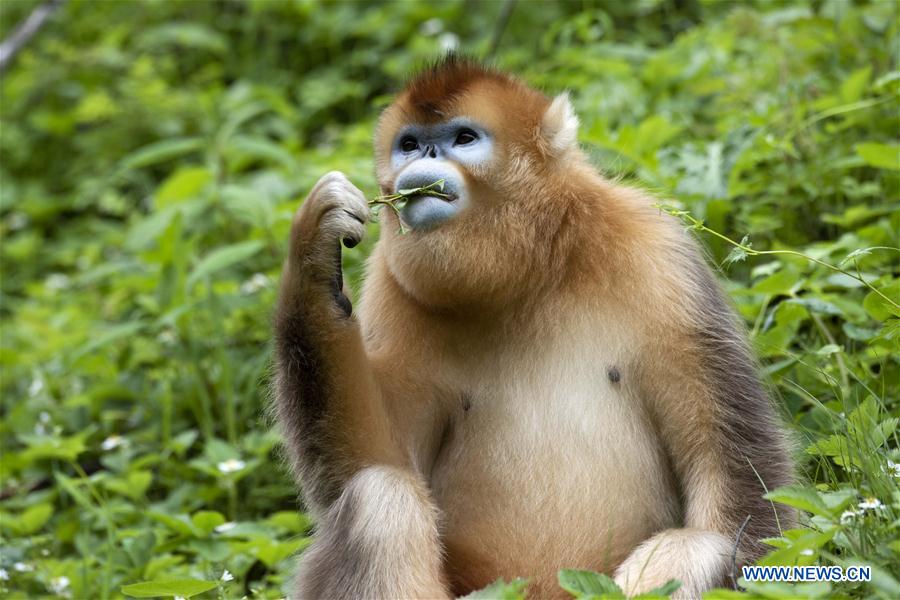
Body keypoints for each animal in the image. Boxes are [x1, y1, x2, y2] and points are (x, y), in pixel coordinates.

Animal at [273, 56, 795, 599]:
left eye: (463, 138)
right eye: (410, 143)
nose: (425, 157)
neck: (530, 275)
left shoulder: (658, 252)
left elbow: (734, 477)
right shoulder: (392, 283)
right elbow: (368, 465)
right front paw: (312, 252)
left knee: (696, 547)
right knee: (380, 499)